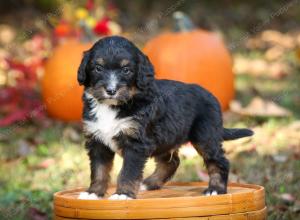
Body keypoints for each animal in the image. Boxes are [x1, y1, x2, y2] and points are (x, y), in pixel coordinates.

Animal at [76, 36, 252, 201]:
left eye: (126, 70)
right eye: (98, 68)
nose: (111, 90)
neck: (114, 106)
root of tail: (212, 97)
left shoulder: (136, 144)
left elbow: (128, 172)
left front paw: (123, 194)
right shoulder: (97, 141)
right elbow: (99, 170)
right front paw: (93, 193)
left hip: (205, 136)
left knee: (219, 161)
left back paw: (215, 189)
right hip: (165, 139)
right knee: (171, 162)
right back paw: (148, 183)